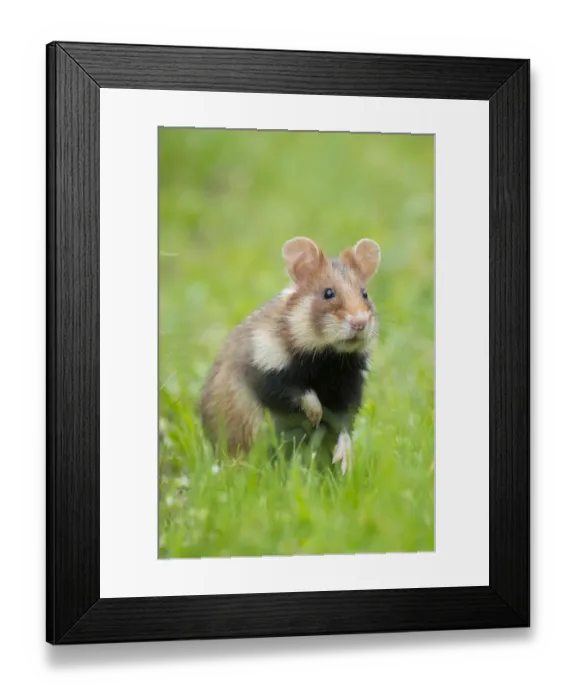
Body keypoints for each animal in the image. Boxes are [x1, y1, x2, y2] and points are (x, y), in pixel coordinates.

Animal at [199, 236, 381, 474]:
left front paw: (344, 459)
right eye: (328, 293)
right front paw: (315, 416)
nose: (360, 322)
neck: (327, 358)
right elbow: (298, 394)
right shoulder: (264, 371)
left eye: (365, 293)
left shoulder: (351, 383)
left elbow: (344, 422)